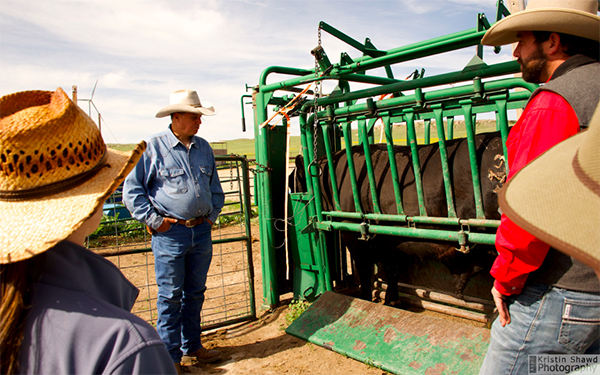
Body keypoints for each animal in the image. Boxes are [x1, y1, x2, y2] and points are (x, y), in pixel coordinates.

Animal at [290, 130, 502, 306]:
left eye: (292, 186)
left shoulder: (353, 235)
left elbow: (365, 270)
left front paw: (365, 298)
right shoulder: (390, 240)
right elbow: (392, 269)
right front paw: (392, 300)